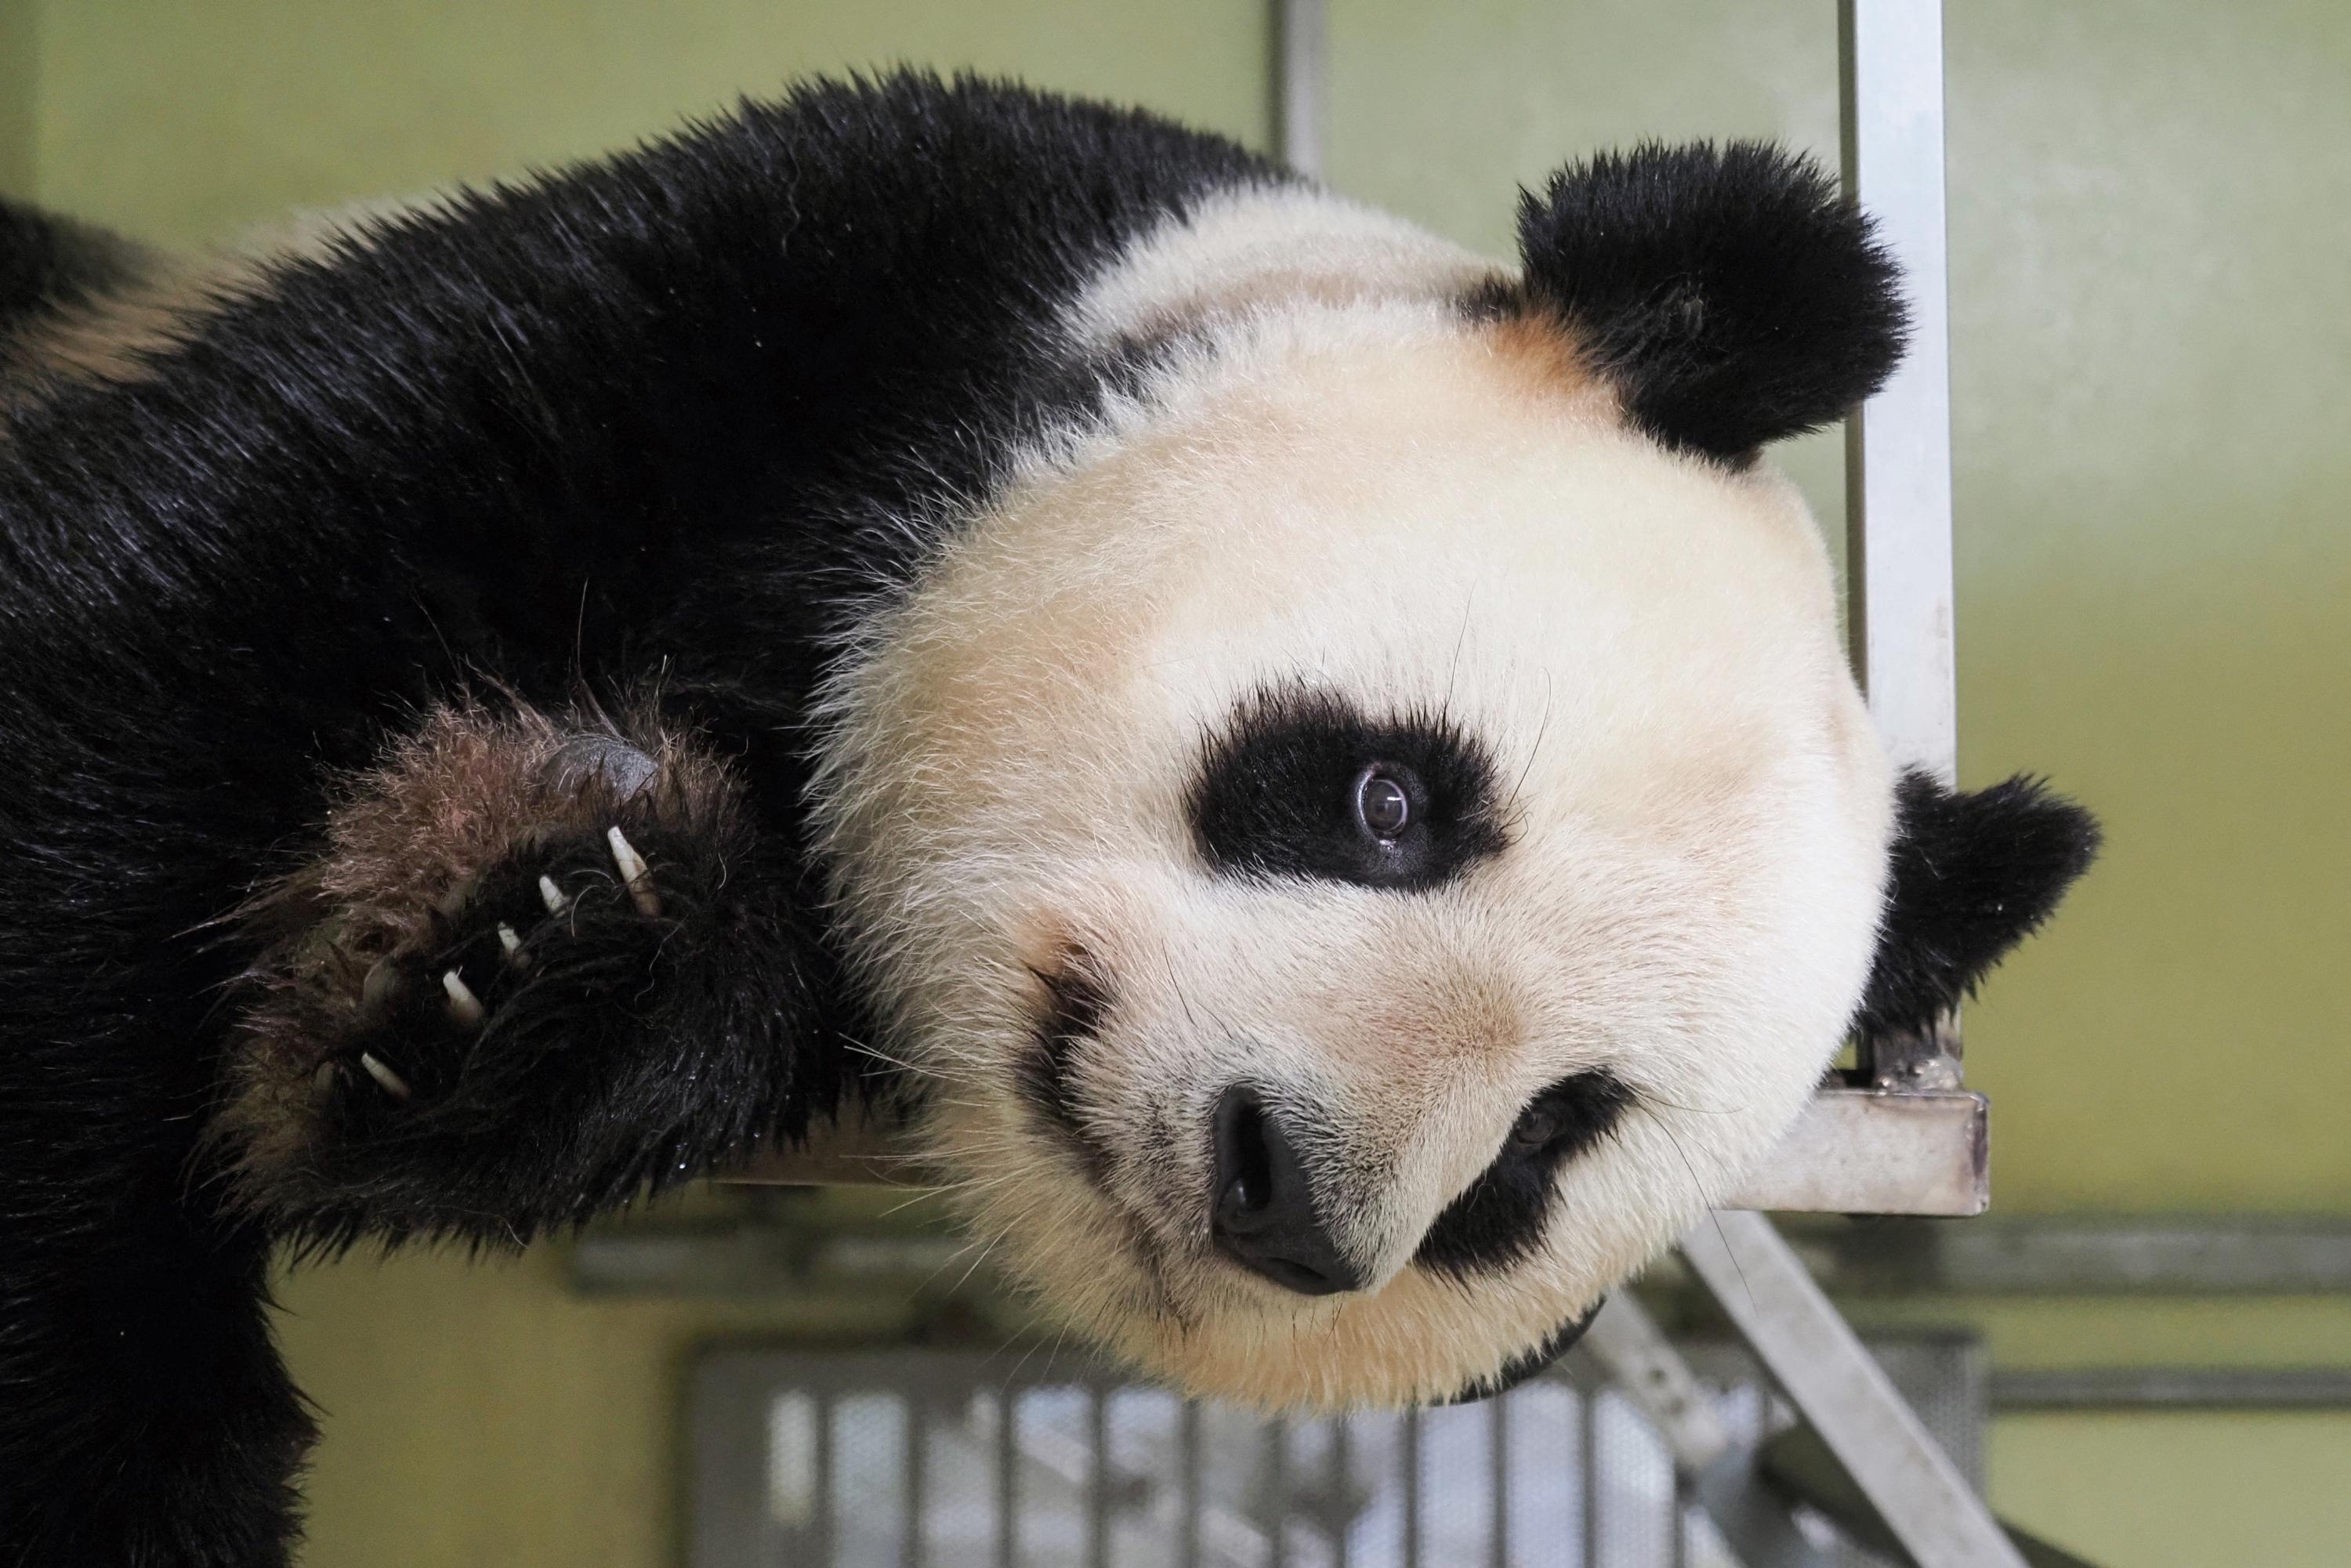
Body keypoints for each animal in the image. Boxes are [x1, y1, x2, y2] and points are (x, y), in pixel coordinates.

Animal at [0, 76, 2097, 1568]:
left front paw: (540, 964)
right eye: (1391, 798)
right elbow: (154, 647)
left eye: (1543, 1143)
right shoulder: (792, 295)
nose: (1287, 1189)